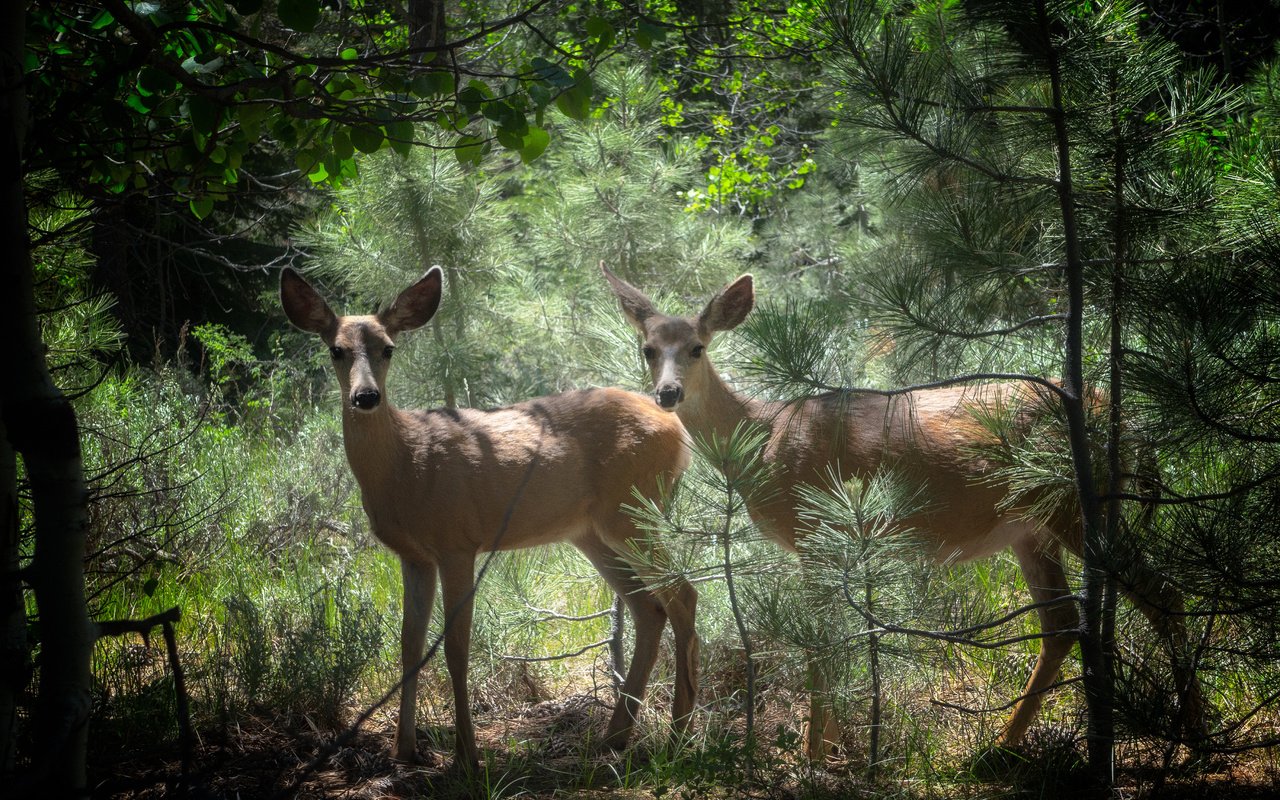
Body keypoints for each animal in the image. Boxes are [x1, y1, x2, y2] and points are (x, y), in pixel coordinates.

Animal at [281, 268, 701, 768]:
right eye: (336, 349)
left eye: (388, 347)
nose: (366, 396)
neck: (405, 464)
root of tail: (678, 429)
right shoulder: (413, 555)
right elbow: (409, 644)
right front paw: (405, 749)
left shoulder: (457, 542)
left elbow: (455, 648)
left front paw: (466, 755)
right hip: (594, 532)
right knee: (648, 609)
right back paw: (616, 735)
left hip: (634, 511)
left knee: (683, 595)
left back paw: (679, 735)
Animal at [599, 264, 1198, 757]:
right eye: (647, 348)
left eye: (698, 347)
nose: (668, 394)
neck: (763, 436)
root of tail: (1127, 422)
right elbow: (831, 634)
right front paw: (835, 744)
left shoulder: (816, 529)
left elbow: (819, 639)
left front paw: (813, 754)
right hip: (1031, 528)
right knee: (1062, 624)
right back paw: (999, 748)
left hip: (1071, 503)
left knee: (1164, 593)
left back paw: (1195, 737)